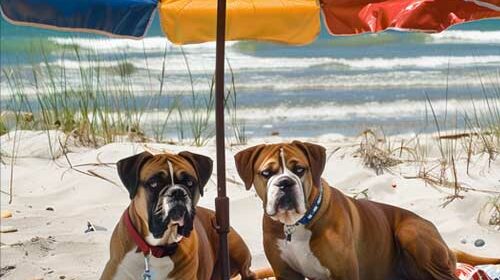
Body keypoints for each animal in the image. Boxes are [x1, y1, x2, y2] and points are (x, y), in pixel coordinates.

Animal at [234, 141, 500, 280]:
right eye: (266, 173)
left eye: (299, 169)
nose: (285, 183)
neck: (296, 224)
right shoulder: (286, 273)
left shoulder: (345, 272)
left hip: (411, 231)